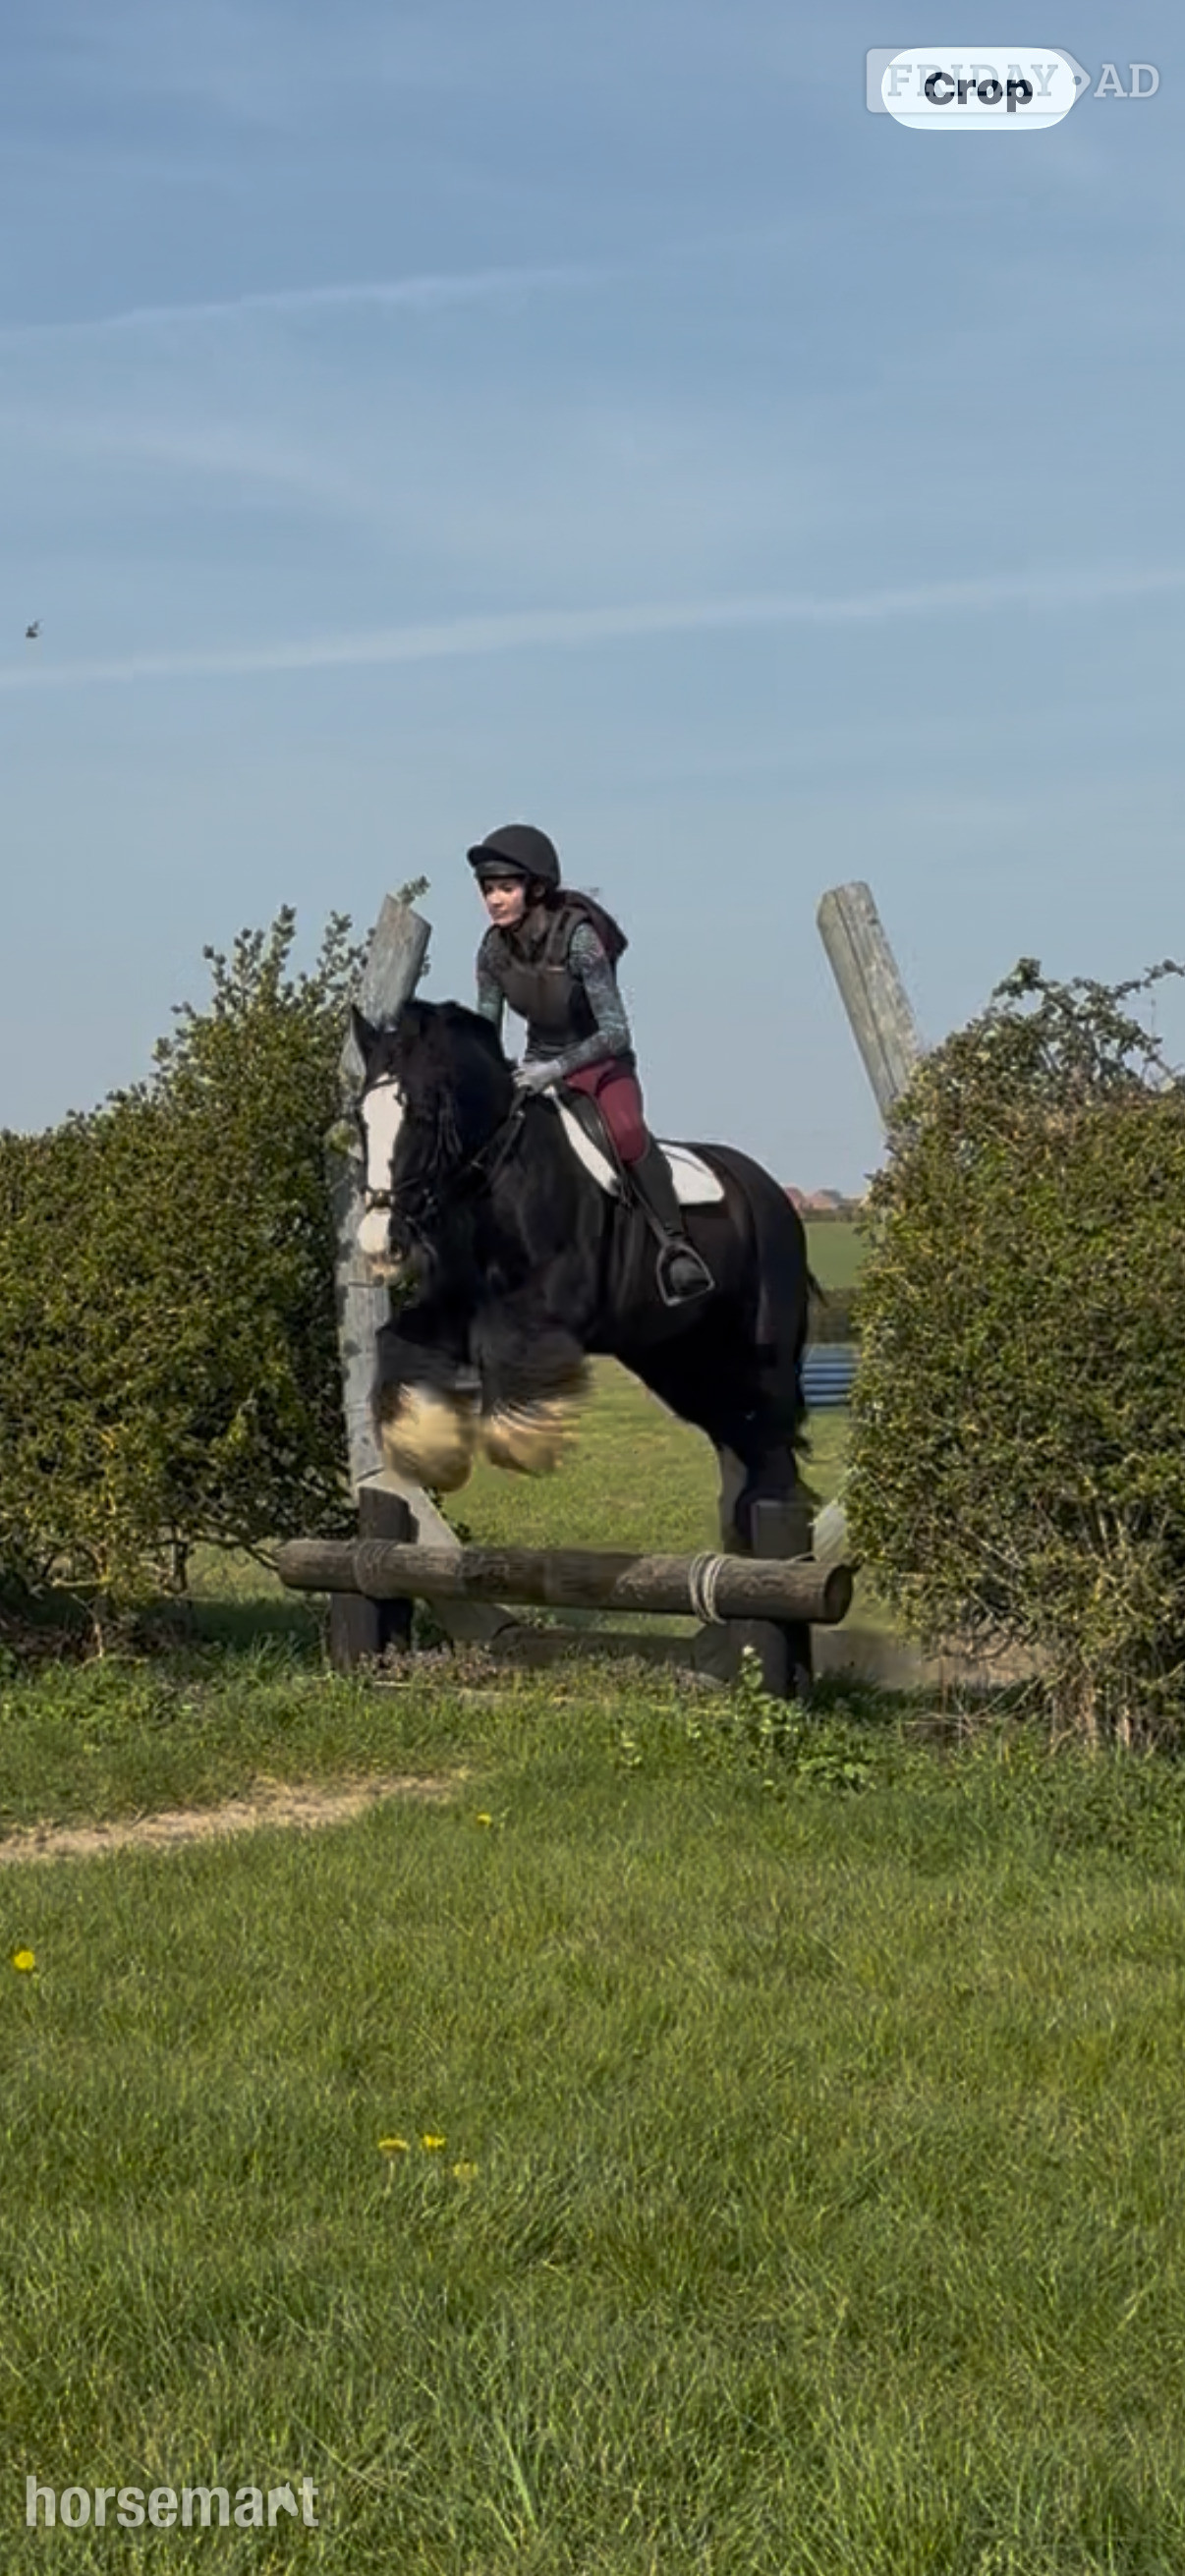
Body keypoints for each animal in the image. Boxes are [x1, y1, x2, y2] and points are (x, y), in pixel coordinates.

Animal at [351, 999, 813, 1550]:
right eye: (359, 1120)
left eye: (419, 1115)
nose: (378, 1240)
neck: (498, 1174)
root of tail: (772, 1194)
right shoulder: (454, 1306)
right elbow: (394, 1337)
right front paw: (426, 1448)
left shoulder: (552, 1307)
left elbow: (503, 1344)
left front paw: (524, 1441)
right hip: (682, 1360)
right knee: (737, 1438)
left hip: (764, 1347)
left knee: (771, 1439)